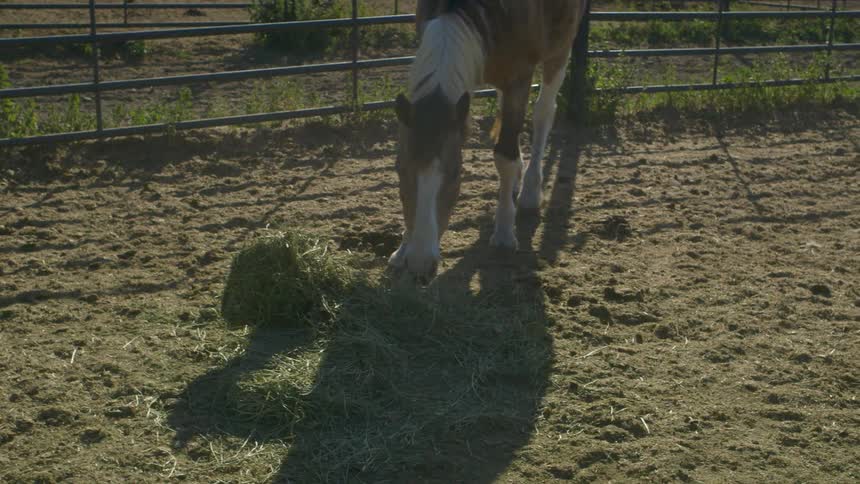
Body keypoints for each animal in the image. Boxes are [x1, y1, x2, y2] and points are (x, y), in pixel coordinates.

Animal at [389, 0, 586, 281]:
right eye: (400, 170)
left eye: (456, 174)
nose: (420, 263)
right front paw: (403, 248)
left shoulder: (519, 78)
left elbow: (505, 157)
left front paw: (504, 232)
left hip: (558, 52)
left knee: (544, 113)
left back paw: (529, 192)